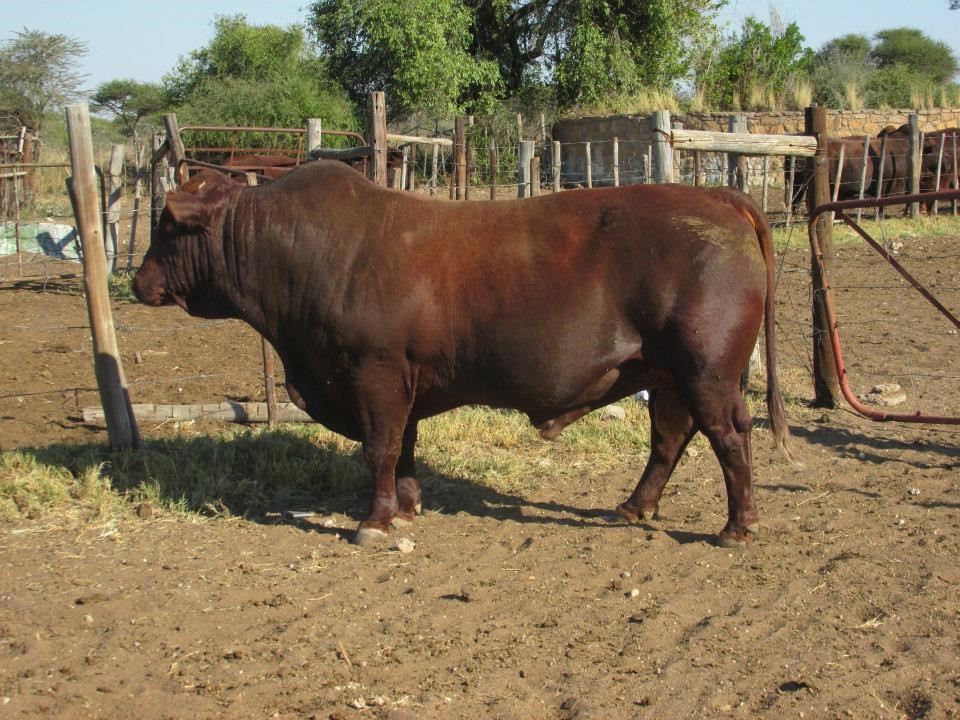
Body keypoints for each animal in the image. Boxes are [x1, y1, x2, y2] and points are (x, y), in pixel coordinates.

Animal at [133, 162, 794, 548]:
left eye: (165, 226)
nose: (139, 282)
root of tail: (721, 198)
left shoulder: (373, 370)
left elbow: (379, 447)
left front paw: (373, 523)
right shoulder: (400, 379)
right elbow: (402, 447)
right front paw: (406, 508)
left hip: (707, 369)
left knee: (729, 434)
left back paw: (737, 526)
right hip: (665, 372)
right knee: (670, 435)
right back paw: (635, 507)